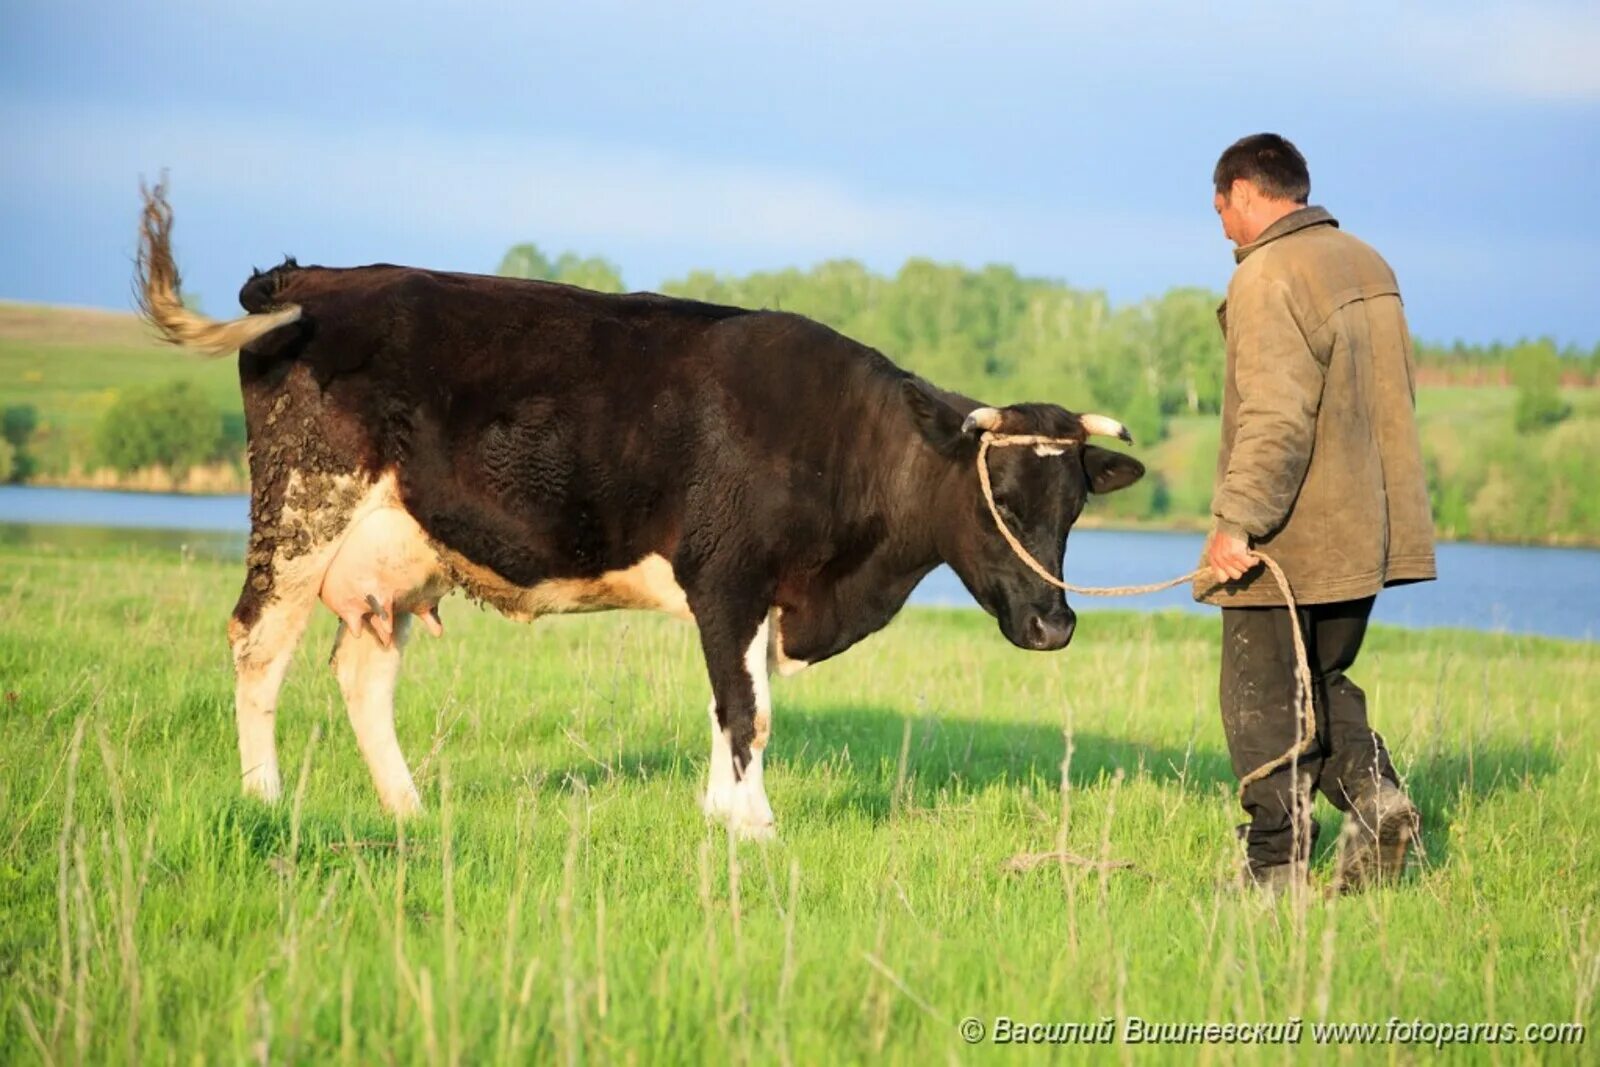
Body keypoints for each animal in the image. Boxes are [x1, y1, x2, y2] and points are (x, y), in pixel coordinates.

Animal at [134, 183, 1139, 838]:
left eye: (1074, 505)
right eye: (998, 497)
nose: (1054, 625)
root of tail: (313, 279)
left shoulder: (751, 597)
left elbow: (733, 703)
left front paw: (718, 812)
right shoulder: (728, 577)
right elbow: (746, 709)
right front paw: (755, 828)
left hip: (393, 550)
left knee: (360, 671)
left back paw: (408, 808)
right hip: (304, 507)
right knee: (259, 643)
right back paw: (264, 799)